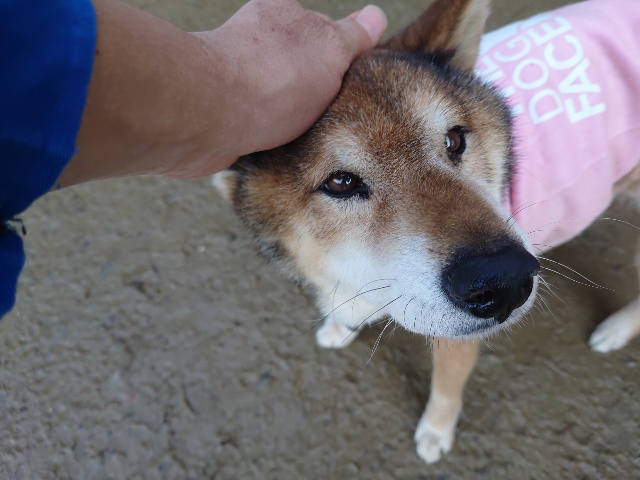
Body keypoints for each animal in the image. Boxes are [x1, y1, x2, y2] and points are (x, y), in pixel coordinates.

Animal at [214, 0, 640, 464]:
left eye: (454, 140)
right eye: (340, 182)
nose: (505, 280)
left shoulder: (455, 339)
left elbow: (447, 386)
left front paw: (436, 430)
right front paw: (340, 325)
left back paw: (617, 329)